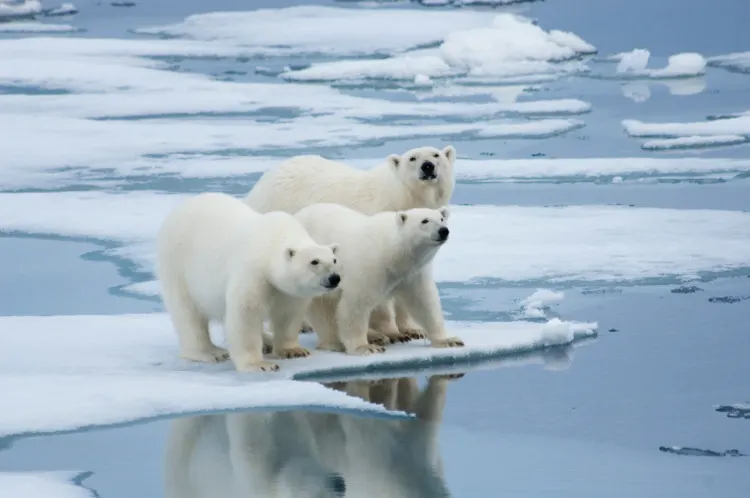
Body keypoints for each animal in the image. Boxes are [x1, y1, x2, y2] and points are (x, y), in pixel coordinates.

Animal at [157, 193, 342, 372]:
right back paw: (211, 352)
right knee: (188, 314)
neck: (272, 243)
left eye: (334, 260)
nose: (334, 278)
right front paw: (260, 365)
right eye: (314, 262)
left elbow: (288, 314)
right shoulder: (253, 273)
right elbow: (246, 315)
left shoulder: (288, 291)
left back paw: (267, 341)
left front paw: (294, 351)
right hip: (177, 265)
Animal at [294, 202, 464, 354]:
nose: (443, 231)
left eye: (442, 218)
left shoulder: (413, 273)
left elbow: (424, 302)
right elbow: (355, 305)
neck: (392, 253)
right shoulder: (370, 267)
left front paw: (449, 340)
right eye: (424, 220)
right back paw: (335, 342)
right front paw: (364, 347)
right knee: (321, 307)